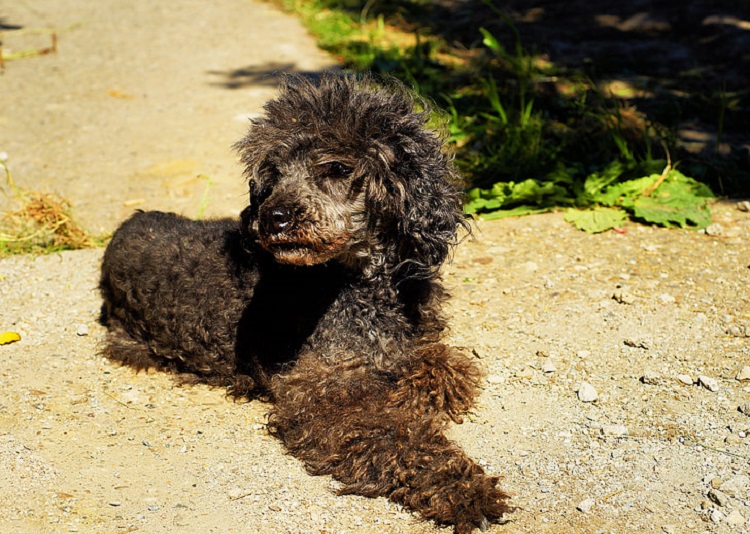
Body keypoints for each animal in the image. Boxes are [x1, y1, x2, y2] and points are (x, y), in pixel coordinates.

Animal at [98, 73, 512, 532]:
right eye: (274, 175)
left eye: (337, 168)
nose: (272, 218)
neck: (362, 287)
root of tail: (126, 226)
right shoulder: (319, 393)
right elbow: (392, 434)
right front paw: (462, 487)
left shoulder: (419, 345)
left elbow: (447, 368)